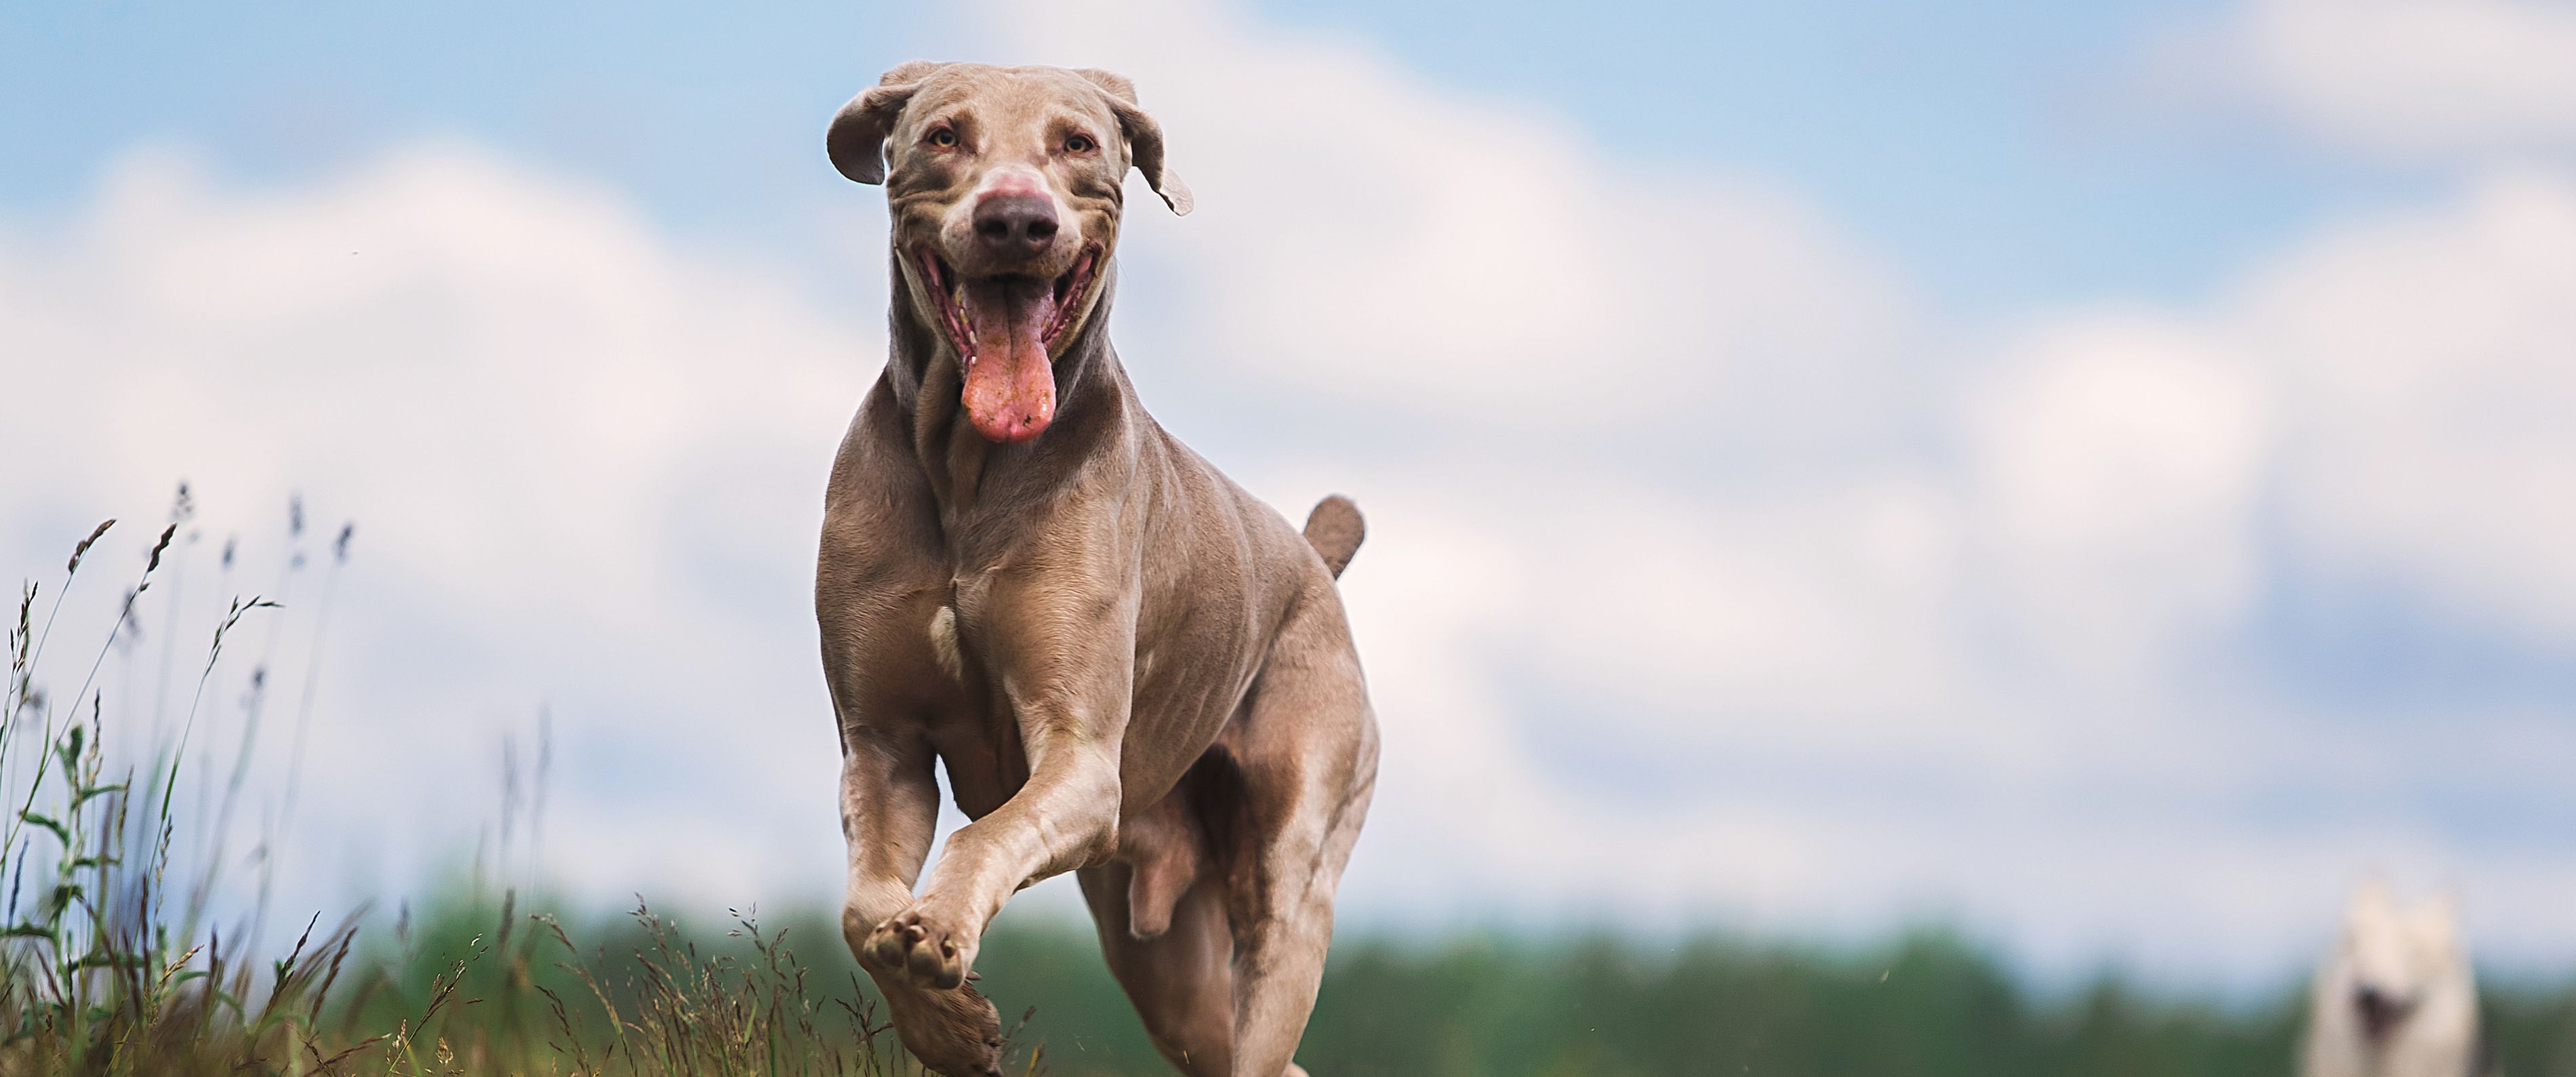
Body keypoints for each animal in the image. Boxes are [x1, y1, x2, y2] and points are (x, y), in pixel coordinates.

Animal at [819, 63, 1391, 1077]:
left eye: (1078, 143)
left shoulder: (1081, 759)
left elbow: (983, 829)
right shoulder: (879, 743)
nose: (1016, 220)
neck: (967, 469)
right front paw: (947, 1021)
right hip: (1158, 955)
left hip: (1293, 862)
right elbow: (861, 906)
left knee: (1274, 981)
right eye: (943, 136)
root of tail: (1313, 565)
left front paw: (938, 936)